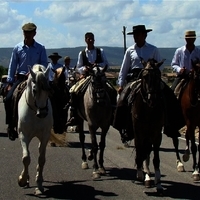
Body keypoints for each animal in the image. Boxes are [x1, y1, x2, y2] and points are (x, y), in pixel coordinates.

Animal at [17, 64, 52, 195]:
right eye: (35, 90)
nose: (43, 113)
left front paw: (39, 184)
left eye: (48, 89)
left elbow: (41, 159)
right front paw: (22, 180)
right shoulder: (23, 135)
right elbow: (26, 158)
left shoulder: (45, 136)